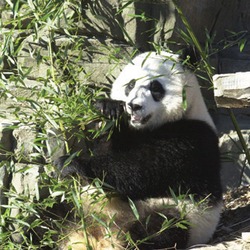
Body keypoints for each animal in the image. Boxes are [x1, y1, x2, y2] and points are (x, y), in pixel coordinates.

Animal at [55, 51, 222, 250]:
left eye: (155, 88)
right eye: (131, 84)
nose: (134, 106)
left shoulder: (192, 138)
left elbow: (140, 170)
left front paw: (72, 163)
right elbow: (107, 151)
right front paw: (107, 109)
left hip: (184, 213)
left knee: (160, 228)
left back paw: (122, 240)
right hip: (84, 208)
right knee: (64, 216)